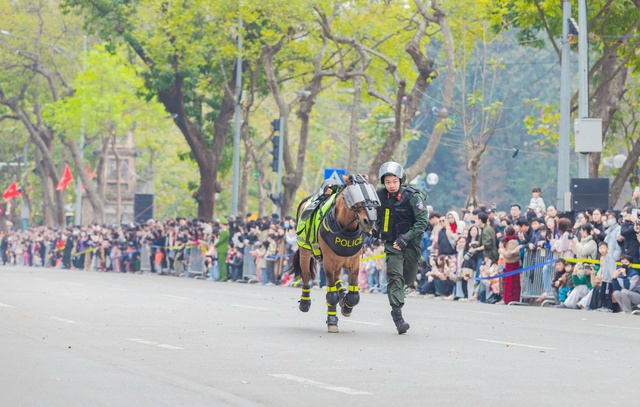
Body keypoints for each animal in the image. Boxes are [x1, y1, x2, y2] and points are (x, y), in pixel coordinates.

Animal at [290, 174, 380, 334]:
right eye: (355, 195)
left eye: (371, 194)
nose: (369, 221)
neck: (345, 229)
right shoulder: (328, 263)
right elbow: (331, 295)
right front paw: (332, 320)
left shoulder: (354, 263)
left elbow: (354, 295)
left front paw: (347, 305)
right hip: (305, 251)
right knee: (306, 275)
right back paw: (305, 302)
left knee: (338, 279)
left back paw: (343, 295)